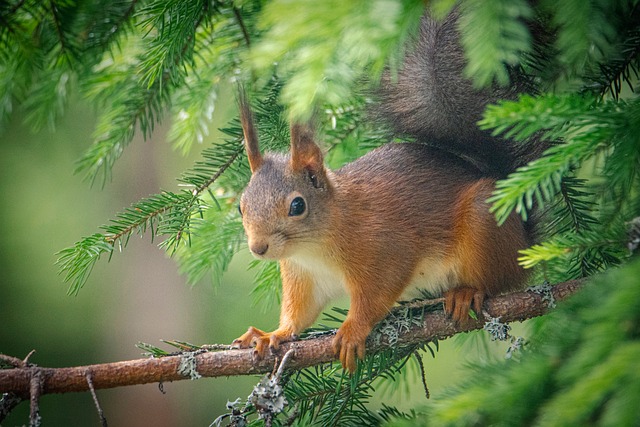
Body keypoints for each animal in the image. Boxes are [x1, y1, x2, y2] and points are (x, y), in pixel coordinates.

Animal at [232, 8, 543, 372]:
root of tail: (524, 236)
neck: (316, 248)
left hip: (484, 220)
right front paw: (272, 334)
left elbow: (376, 295)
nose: (258, 248)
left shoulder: (384, 249)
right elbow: (299, 316)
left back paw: (467, 292)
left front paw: (353, 329)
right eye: (241, 206)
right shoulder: (302, 277)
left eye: (297, 206)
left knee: (502, 281)